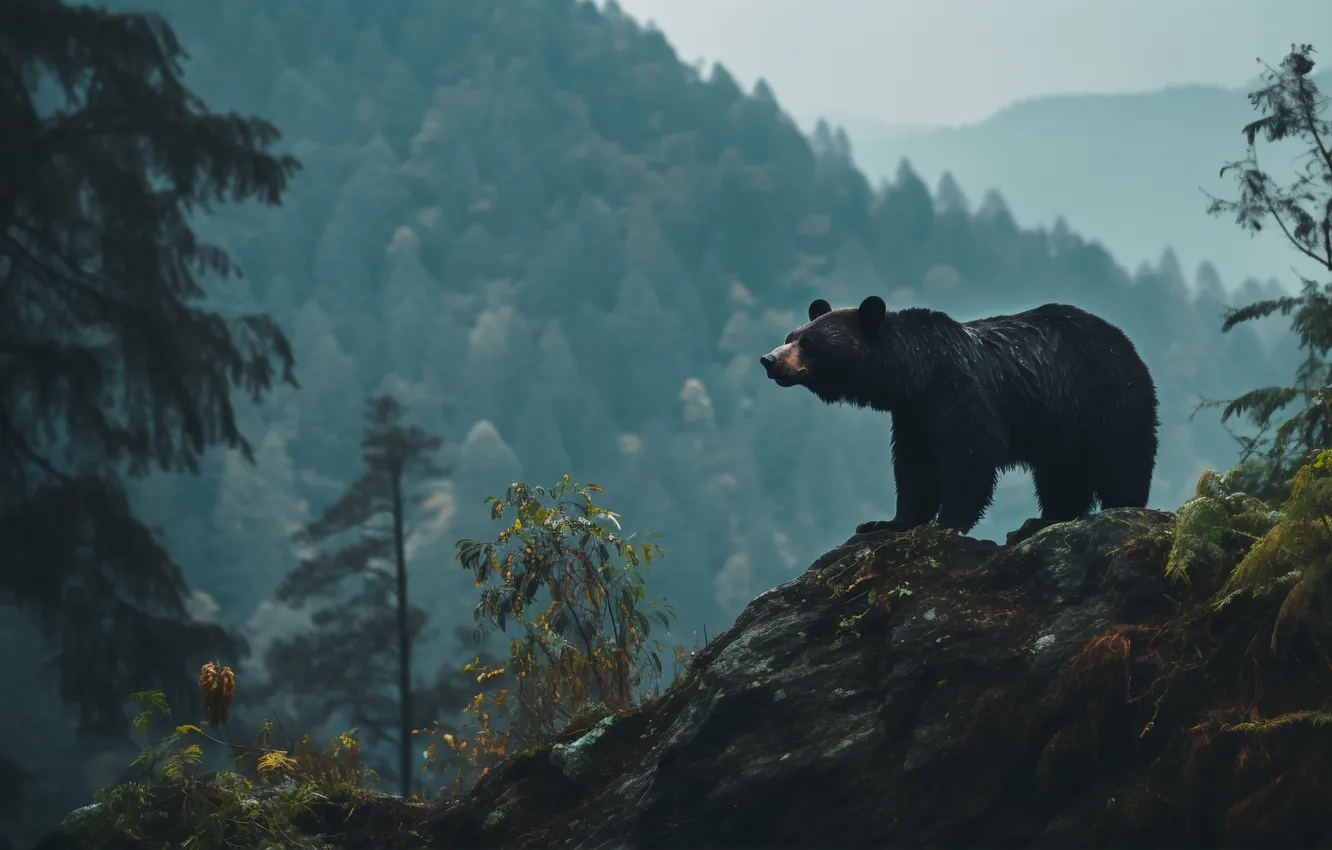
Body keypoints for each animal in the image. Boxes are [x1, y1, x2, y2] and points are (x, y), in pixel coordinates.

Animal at [759, 296, 1159, 536]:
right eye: (791, 335)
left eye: (808, 343)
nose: (769, 359)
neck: (917, 373)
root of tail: (1126, 344)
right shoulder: (913, 415)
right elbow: (914, 467)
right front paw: (885, 522)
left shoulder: (960, 390)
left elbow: (969, 454)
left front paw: (946, 522)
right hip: (1061, 424)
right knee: (1061, 474)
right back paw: (1043, 520)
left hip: (1107, 398)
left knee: (1123, 460)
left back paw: (1121, 506)